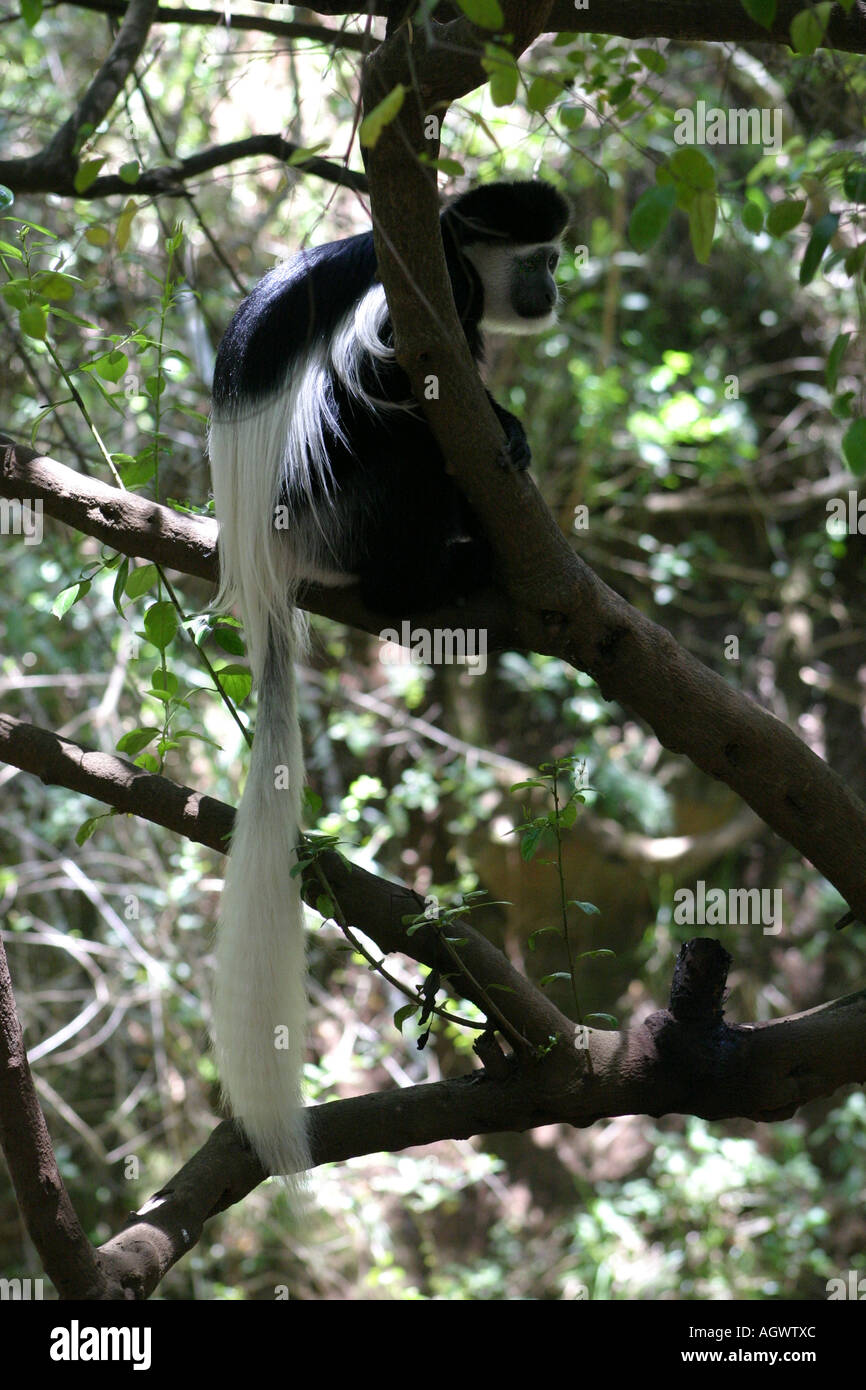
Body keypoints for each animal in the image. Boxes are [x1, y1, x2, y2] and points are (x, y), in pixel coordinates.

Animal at [209, 179, 572, 1178]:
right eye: (541, 257)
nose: (553, 288)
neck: (438, 246)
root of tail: (265, 564)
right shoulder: (426, 303)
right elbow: (409, 385)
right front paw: (509, 428)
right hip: (338, 511)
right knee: (397, 435)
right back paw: (438, 570)